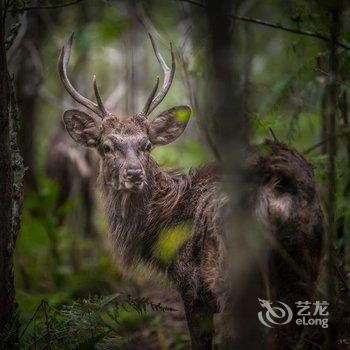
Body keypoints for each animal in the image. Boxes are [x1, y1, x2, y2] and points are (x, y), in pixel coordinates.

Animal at [58, 32, 326, 348]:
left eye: (146, 145)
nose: (134, 174)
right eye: (106, 146)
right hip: (307, 261)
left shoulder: (192, 285)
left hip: (232, 275)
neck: (163, 219)